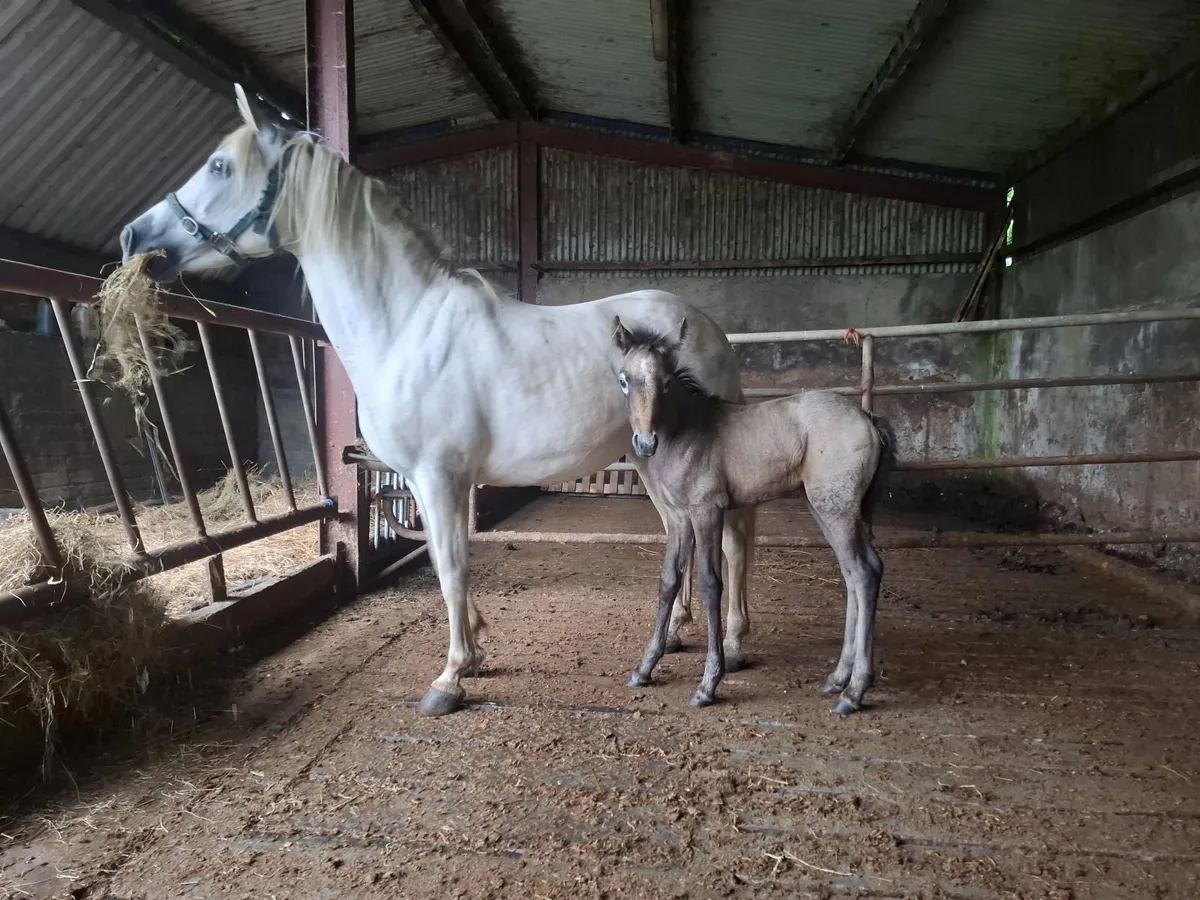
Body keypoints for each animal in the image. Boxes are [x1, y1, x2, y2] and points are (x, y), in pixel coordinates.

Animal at [116, 85, 757, 716]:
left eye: (220, 166)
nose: (134, 238)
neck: (405, 327)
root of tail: (705, 327)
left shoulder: (440, 475)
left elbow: (450, 565)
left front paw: (449, 678)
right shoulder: (428, 481)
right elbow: (445, 557)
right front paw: (474, 649)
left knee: (732, 539)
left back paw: (731, 642)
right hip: (651, 458)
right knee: (681, 530)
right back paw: (674, 634)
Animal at [612, 316, 894, 713]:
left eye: (666, 382)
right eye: (624, 379)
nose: (645, 443)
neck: (686, 430)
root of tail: (867, 417)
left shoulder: (707, 510)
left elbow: (711, 583)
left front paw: (708, 684)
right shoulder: (680, 517)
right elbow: (668, 580)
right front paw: (644, 668)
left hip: (835, 508)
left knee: (865, 573)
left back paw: (854, 692)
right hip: (830, 508)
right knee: (855, 573)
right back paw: (838, 679)